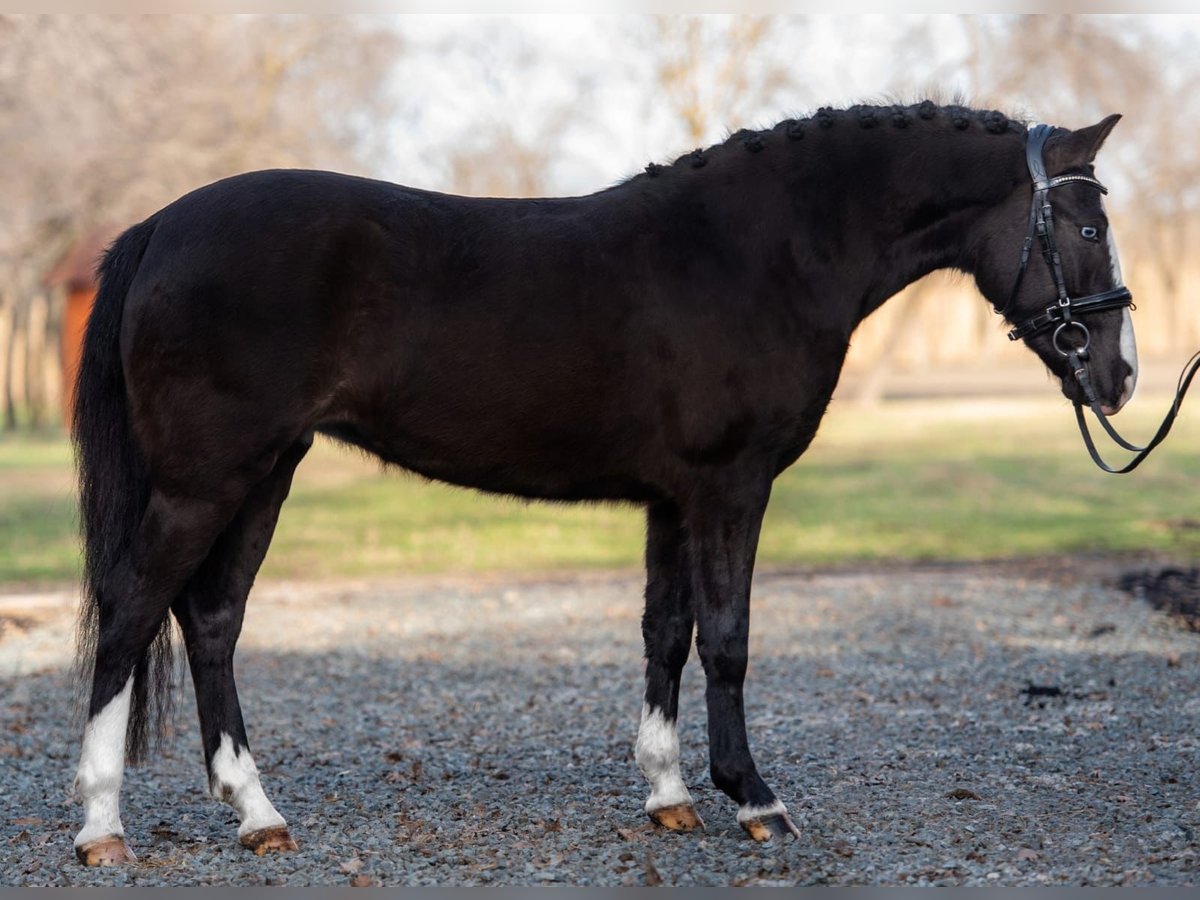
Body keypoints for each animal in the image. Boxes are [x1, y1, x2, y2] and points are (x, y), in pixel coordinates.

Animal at [70, 100, 1137, 868]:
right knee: (131, 614)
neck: (760, 251)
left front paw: (670, 797)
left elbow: (666, 634)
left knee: (211, 621)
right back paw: (101, 827)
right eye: (1086, 224)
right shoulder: (730, 488)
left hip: (264, 473)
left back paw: (256, 814)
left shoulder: (673, 498)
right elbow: (729, 640)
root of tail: (161, 225)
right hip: (207, 480)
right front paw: (755, 799)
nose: (1122, 376)